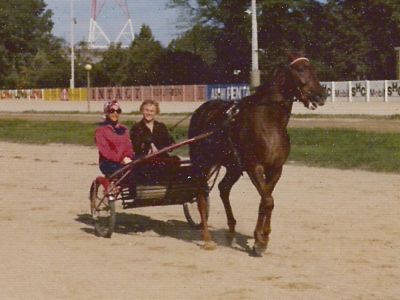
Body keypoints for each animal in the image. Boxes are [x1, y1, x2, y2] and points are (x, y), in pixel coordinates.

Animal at [189, 51, 326, 255]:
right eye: (300, 69)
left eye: (313, 68)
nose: (321, 94)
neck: (269, 122)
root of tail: (202, 110)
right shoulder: (254, 167)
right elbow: (268, 200)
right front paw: (260, 241)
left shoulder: (275, 169)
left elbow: (266, 200)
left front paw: (261, 238)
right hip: (202, 162)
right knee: (200, 193)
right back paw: (207, 238)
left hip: (233, 166)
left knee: (223, 188)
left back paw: (231, 231)